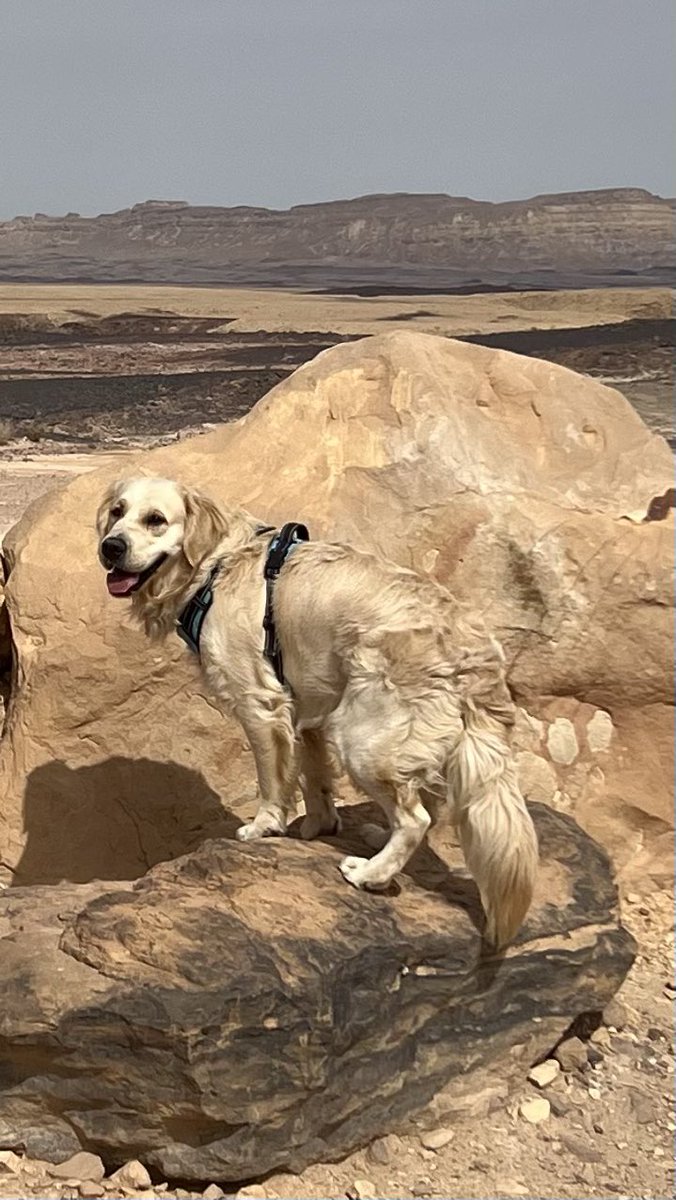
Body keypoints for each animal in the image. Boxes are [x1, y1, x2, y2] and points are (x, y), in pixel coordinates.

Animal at [95, 477, 540, 945]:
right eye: (117, 512)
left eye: (156, 520)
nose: (111, 547)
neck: (216, 568)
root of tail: (473, 648)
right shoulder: (307, 704)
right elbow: (315, 778)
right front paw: (318, 827)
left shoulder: (261, 706)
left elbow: (272, 782)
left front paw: (264, 827)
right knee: (427, 806)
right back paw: (378, 839)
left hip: (363, 736)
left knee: (416, 818)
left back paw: (370, 874)